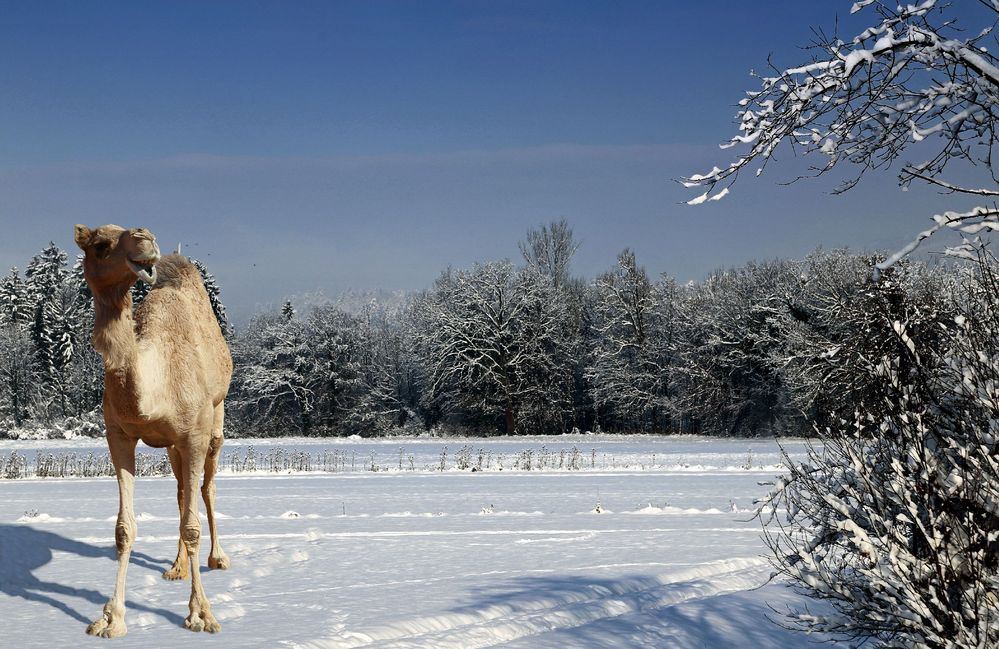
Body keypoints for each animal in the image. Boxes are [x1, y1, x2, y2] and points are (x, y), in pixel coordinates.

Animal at [74, 224, 234, 636]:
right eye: (99, 245)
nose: (144, 239)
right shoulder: (119, 435)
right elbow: (123, 529)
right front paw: (110, 619)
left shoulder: (194, 434)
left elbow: (193, 525)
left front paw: (201, 615)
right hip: (172, 446)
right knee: (181, 492)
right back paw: (176, 568)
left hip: (215, 421)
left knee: (206, 488)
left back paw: (219, 558)